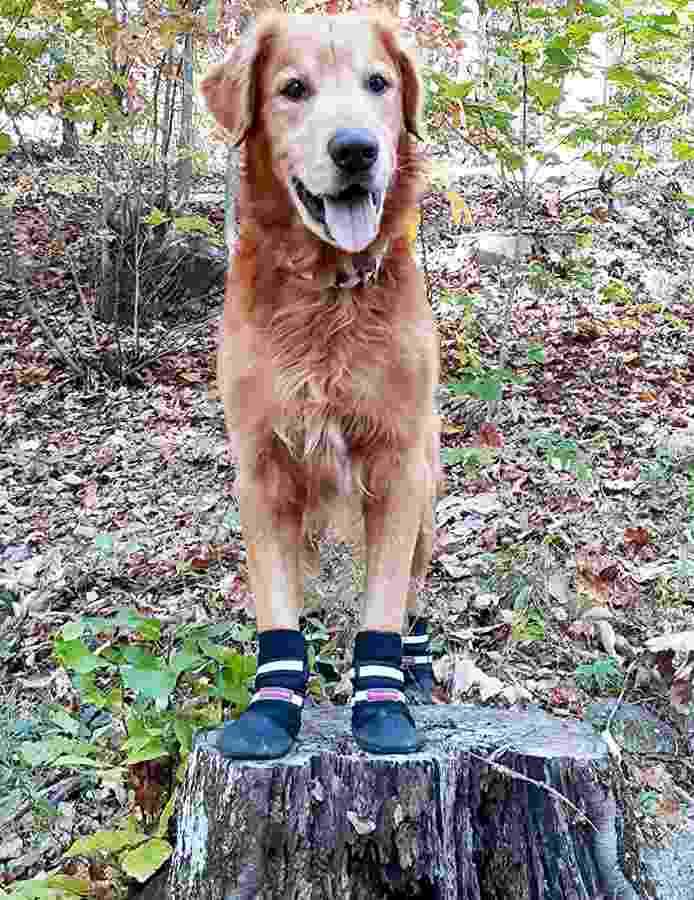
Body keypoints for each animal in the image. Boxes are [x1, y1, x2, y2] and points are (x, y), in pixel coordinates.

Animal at [201, 8, 440, 760]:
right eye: (293, 89)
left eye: (379, 84)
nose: (357, 149)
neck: (328, 293)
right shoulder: (263, 468)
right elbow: (278, 604)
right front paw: (269, 711)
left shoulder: (397, 465)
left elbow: (384, 604)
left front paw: (384, 704)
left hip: (429, 496)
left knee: (415, 591)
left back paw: (418, 670)